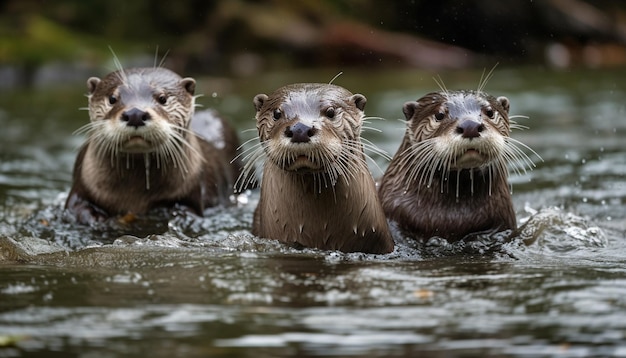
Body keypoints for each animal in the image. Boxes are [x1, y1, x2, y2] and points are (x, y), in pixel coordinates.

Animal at [65, 67, 241, 224]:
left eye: (162, 98)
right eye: (112, 98)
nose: (135, 114)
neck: (134, 196)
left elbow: (189, 209)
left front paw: (176, 213)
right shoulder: (81, 185)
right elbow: (74, 206)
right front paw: (94, 216)